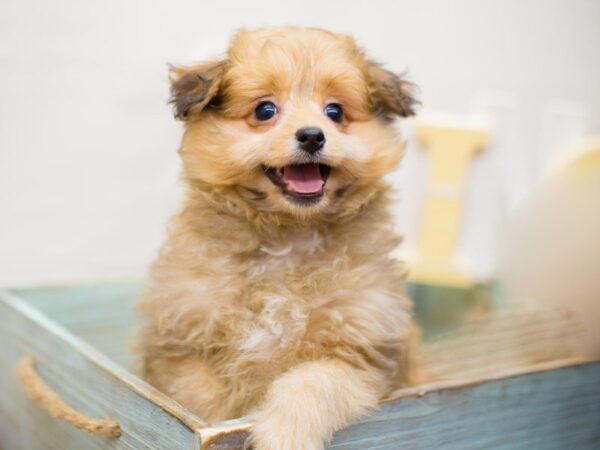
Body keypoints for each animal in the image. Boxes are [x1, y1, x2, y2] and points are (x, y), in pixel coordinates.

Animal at [136, 27, 418, 450]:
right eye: (265, 111)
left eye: (335, 112)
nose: (313, 136)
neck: (289, 237)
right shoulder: (185, 347)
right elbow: (205, 405)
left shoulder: (359, 350)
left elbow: (311, 383)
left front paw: (286, 434)